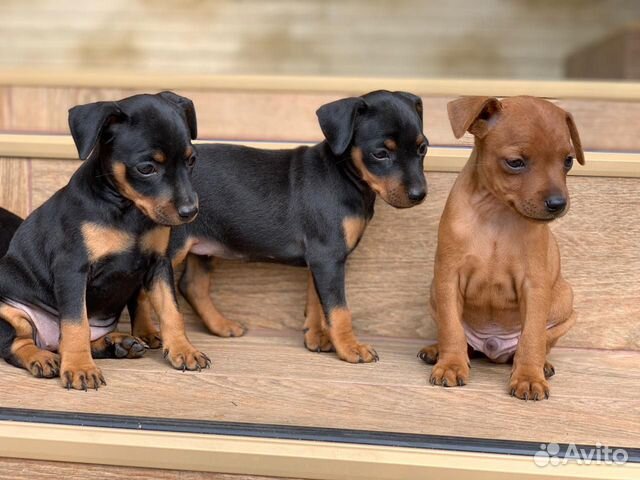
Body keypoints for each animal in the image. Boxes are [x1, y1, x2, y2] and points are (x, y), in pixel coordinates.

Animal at [0, 91, 209, 390]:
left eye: (191, 161)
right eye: (146, 168)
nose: (190, 212)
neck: (127, 210)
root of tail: (47, 340)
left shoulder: (158, 264)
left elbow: (171, 310)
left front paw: (184, 349)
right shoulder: (71, 269)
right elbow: (75, 324)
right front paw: (80, 369)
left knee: (68, 341)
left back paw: (117, 344)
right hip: (9, 312)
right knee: (18, 344)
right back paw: (43, 358)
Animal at [134, 89, 430, 364]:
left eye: (423, 148)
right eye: (380, 154)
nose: (419, 194)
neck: (344, 175)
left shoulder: (319, 259)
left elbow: (316, 299)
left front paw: (316, 336)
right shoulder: (328, 255)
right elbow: (338, 309)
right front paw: (350, 347)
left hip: (204, 243)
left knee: (192, 285)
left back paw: (221, 325)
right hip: (173, 246)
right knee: (146, 289)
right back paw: (147, 334)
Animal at [420, 95, 584, 400]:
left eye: (568, 161)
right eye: (515, 162)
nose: (558, 203)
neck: (496, 212)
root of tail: (492, 348)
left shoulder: (535, 286)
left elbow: (532, 337)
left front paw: (529, 377)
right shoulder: (447, 278)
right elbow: (451, 328)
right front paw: (450, 365)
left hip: (565, 305)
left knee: (539, 342)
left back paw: (542, 365)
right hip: (434, 294)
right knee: (460, 338)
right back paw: (437, 351)